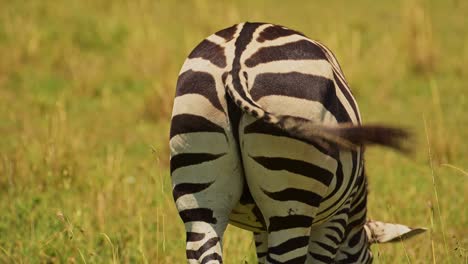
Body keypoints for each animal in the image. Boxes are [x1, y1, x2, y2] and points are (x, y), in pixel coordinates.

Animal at [170, 22, 426, 264]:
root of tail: (236, 65)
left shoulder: (262, 227)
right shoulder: (336, 215)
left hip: (199, 192)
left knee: (204, 248)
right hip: (292, 196)